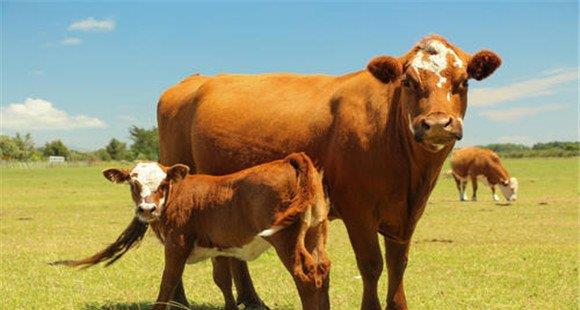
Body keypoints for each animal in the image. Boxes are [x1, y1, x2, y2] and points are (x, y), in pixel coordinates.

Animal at [53, 153, 330, 310]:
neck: (177, 196)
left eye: (163, 183)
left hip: (286, 239)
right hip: (316, 233)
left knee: (305, 276)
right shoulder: (220, 247)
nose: (146, 209)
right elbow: (223, 281)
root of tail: (289, 160)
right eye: (133, 182)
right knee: (322, 270)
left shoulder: (177, 245)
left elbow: (168, 282)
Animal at [157, 34, 498, 310]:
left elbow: (398, 264)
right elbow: (371, 264)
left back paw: (251, 300)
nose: (437, 124)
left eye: (464, 81)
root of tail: (193, 81)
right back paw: (178, 299)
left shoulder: (406, 214)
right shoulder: (358, 210)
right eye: (408, 82)